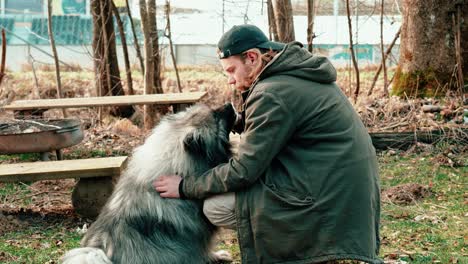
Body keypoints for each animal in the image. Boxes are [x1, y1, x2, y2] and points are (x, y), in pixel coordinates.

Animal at [61, 103, 238, 264]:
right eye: (215, 115)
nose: (230, 104)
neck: (177, 165)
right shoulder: (196, 234)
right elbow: (201, 248)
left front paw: (217, 255)